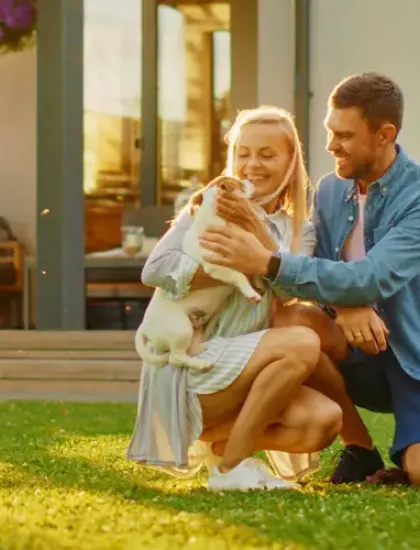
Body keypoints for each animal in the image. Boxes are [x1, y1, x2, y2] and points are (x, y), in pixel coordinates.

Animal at [135, 177, 260, 374]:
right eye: (238, 182)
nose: (250, 179)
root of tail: (145, 328)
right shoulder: (216, 267)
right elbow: (239, 275)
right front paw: (251, 293)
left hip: (193, 331)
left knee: (191, 349)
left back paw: (209, 345)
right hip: (181, 330)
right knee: (176, 357)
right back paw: (202, 364)